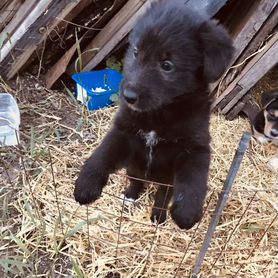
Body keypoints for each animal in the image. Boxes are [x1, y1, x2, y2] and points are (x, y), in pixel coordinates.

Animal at [73, 0, 232, 229]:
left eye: (167, 65)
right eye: (135, 51)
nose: (128, 96)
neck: (159, 115)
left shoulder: (196, 146)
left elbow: (194, 179)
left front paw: (187, 212)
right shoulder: (123, 132)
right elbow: (102, 153)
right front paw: (86, 184)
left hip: (166, 181)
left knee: (162, 197)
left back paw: (158, 216)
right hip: (133, 169)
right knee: (135, 181)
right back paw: (130, 196)